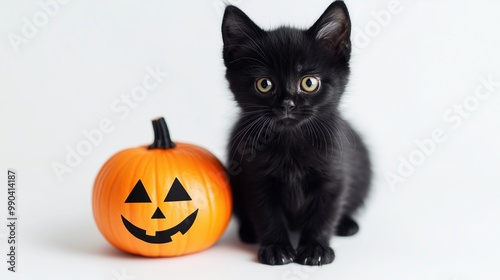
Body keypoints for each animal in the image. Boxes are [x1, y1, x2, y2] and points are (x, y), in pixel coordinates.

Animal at [222, 1, 372, 266]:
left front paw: (315, 248)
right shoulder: (256, 179)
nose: (287, 104)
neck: (290, 142)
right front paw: (277, 248)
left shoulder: (334, 176)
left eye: (309, 82)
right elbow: (267, 214)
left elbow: (324, 214)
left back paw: (347, 225)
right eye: (264, 84)